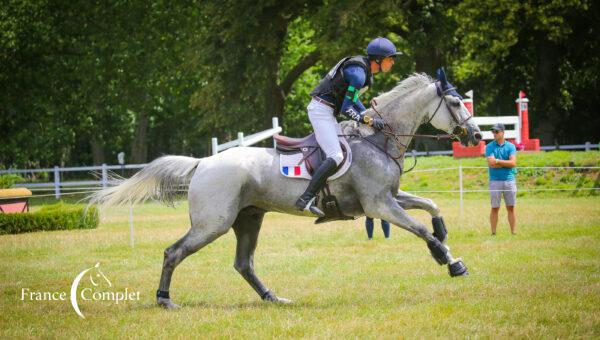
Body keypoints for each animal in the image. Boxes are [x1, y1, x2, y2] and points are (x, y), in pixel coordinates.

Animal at [89, 71, 482, 308]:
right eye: (455, 103)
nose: (476, 135)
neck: (379, 139)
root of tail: (203, 163)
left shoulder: (389, 199)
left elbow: (430, 206)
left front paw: (444, 234)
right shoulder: (379, 205)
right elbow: (419, 229)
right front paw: (451, 262)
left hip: (249, 219)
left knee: (243, 263)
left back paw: (273, 297)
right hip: (212, 223)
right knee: (174, 252)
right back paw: (165, 299)